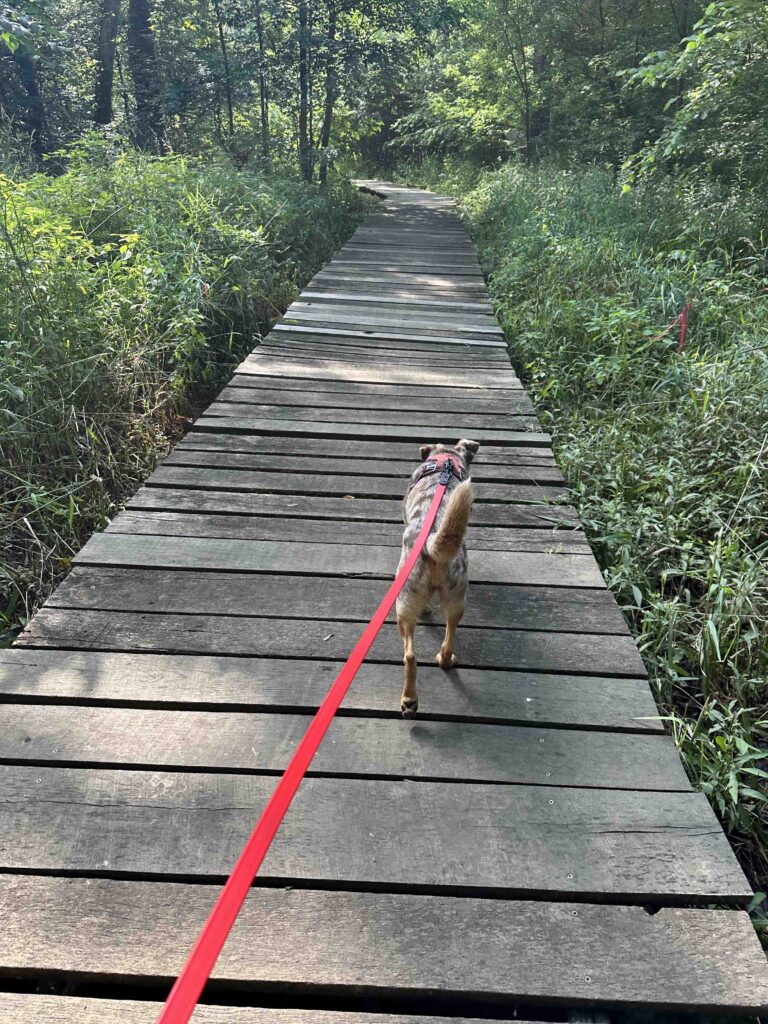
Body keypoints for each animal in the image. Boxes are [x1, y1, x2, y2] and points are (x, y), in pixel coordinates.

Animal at [399, 436, 479, 716]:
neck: (446, 460)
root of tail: (431, 544)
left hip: (403, 605)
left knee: (410, 655)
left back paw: (409, 699)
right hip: (456, 599)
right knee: (447, 638)